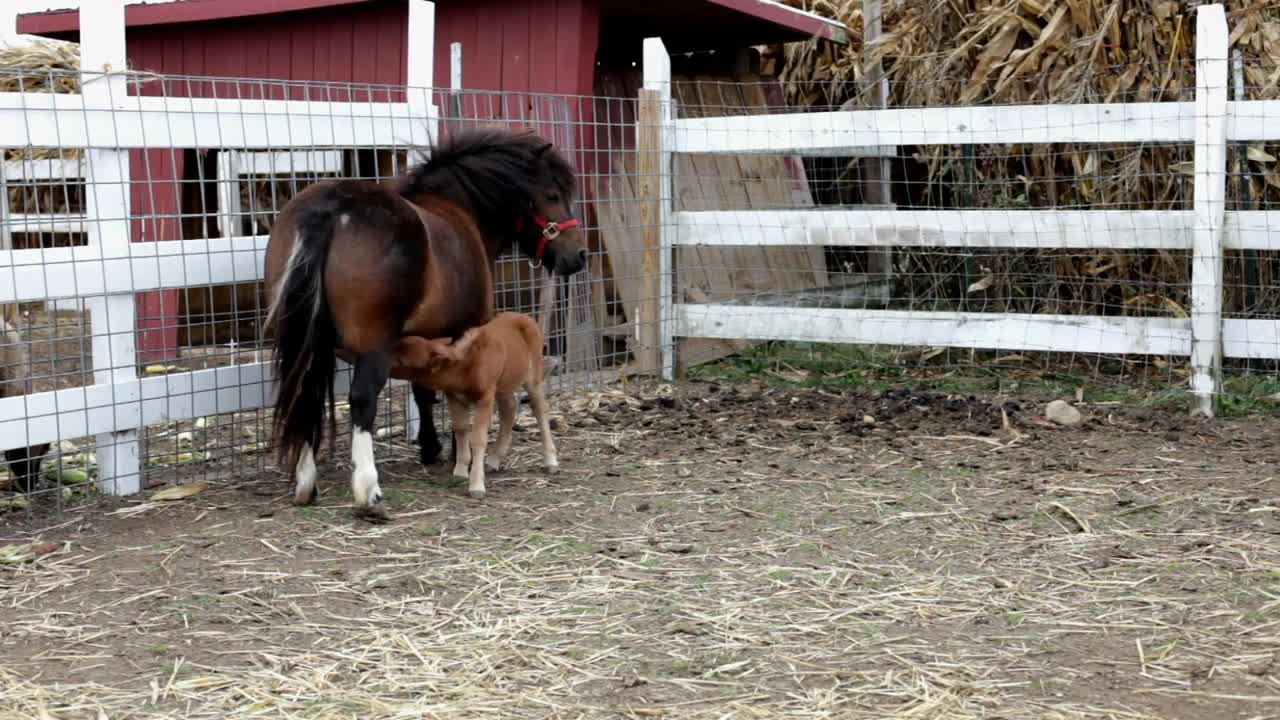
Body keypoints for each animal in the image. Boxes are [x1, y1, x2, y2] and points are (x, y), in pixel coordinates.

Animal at [262, 128, 586, 517]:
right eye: (552, 195)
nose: (579, 255)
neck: (460, 211)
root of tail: (332, 208)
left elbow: (423, 390)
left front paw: (432, 449)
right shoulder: (462, 330)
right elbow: (442, 398)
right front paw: (455, 455)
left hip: (310, 342)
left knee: (304, 394)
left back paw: (306, 483)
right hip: (374, 345)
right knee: (362, 399)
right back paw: (368, 490)